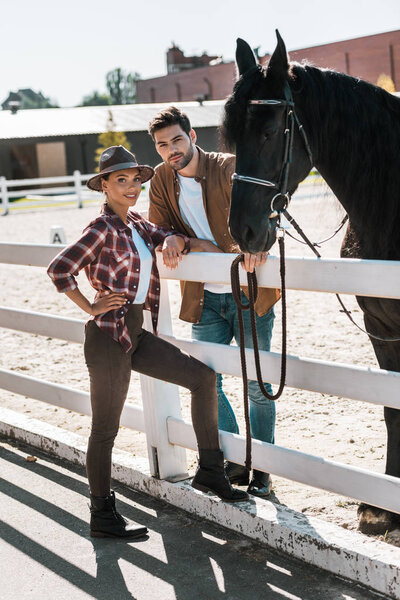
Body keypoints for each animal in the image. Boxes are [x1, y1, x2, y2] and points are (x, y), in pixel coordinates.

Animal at [220, 31, 400, 536]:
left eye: (268, 131)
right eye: (230, 135)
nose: (243, 231)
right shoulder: (381, 327)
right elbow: (392, 409)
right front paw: (382, 508)